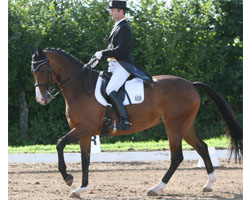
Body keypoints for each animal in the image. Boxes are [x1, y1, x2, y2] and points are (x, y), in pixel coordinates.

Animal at [29, 46, 242, 198]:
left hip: (173, 125)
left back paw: (156, 188)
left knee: (177, 156)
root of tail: (191, 84)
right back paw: (209, 184)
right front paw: (80, 189)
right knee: (202, 147)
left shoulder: (83, 129)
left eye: (43, 70)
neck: (81, 87)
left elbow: (59, 144)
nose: (41, 99)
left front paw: (68, 178)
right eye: (32, 71)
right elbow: (85, 160)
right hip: (186, 126)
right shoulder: (85, 133)